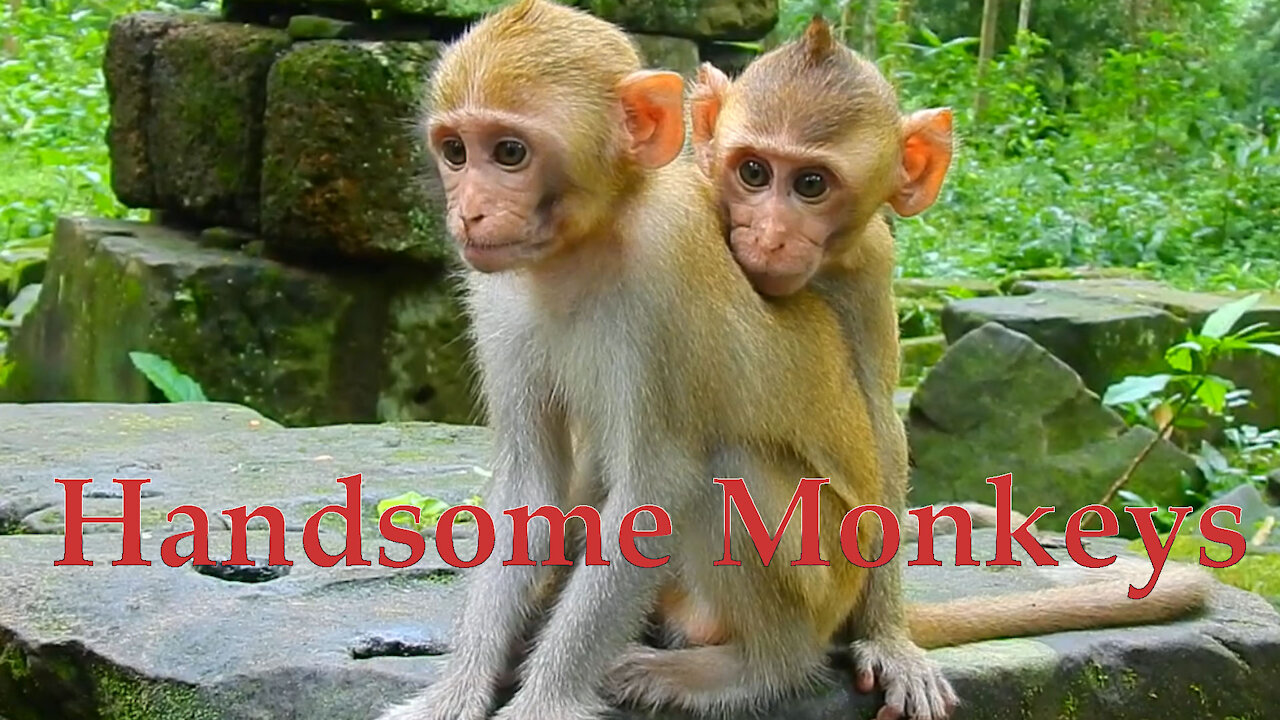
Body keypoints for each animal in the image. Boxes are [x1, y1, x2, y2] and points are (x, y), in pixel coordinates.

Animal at [377, 5, 1213, 720]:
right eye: (456, 151)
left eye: (509, 152)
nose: (469, 211)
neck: (586, 247)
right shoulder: (499, 298)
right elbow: (533, 486)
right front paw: (455, 692)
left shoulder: (663, 282)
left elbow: (659, 486)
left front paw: (545, 701)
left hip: (824, 578)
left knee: (728, 470)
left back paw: (757, 669)